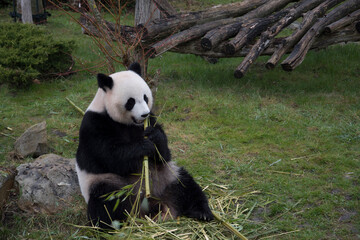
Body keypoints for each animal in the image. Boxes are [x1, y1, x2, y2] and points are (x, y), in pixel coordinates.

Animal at [74, 62, 212, 228]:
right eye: (131, 101)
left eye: (146, 97)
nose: (144, 114)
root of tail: (149, 205)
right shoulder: (94, 125)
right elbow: (111, 156)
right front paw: (144, 146)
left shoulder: (150, 120)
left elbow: (164, 154)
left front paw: (154, 138)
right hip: (108, 183)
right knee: (106, 202)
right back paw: (112, 225)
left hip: (168, 176)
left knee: (187, 186)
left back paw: (202, 212)